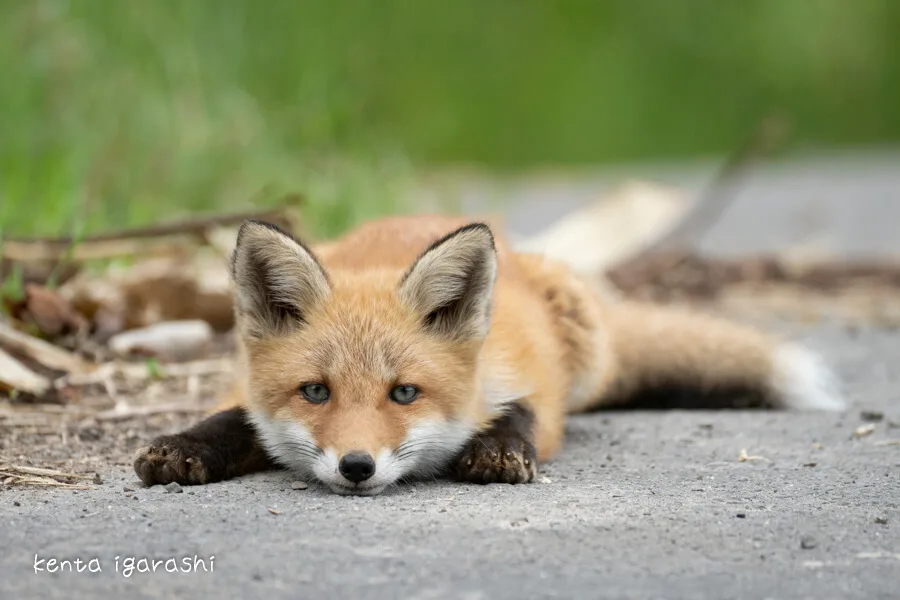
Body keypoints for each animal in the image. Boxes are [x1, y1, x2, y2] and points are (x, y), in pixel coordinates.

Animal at [132, 216, 844, 496]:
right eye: (314, 392)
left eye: (404, 393)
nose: (357, 467)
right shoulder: (241, 387)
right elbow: (232, 419)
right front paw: (183, 447)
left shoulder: (530, 389)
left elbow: (520, 415)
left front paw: (498, 449)